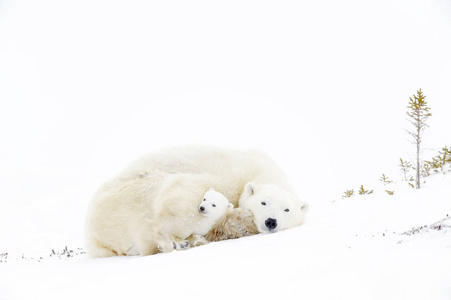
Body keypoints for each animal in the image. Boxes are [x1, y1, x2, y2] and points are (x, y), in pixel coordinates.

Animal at [85, 144, 310, 256]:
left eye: (287, 209)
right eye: (263, 202)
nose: (270, 221)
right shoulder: (229, 177)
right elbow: (192, 194)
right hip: (128, 196)